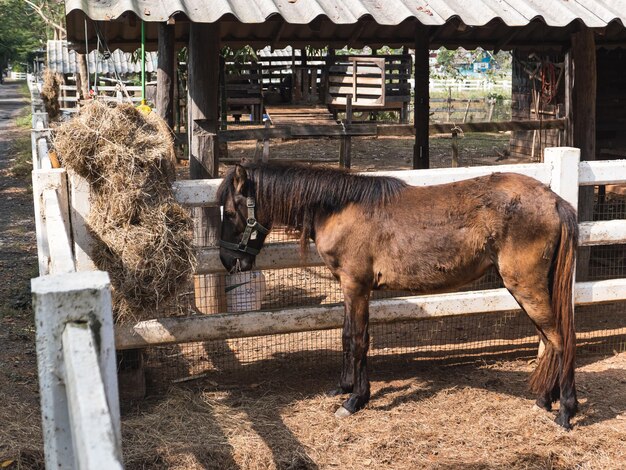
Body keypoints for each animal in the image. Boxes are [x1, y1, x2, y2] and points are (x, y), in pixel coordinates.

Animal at [217, 162, 576, 430]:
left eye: (231, 213)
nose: (229, 261)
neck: (339, 209)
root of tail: (553, 200)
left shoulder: (356, 286)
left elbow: (359, 340)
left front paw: (355, 400)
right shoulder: (350, 289)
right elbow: (347, 336)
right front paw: (344, 387)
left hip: (525, 285)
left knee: (560, 339)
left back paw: (565, 411)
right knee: (550, 340)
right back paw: (545, 400)